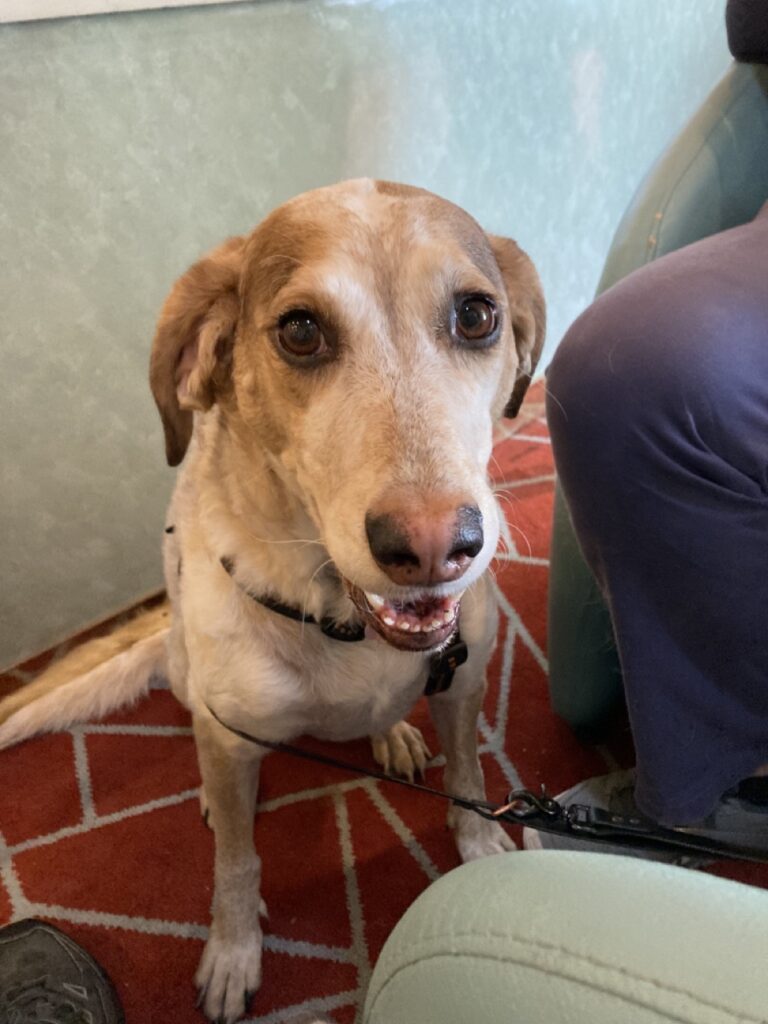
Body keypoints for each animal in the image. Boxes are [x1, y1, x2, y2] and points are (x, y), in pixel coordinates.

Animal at [0, 180, 544, 1019]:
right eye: (300, 331)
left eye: (478, 316)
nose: (433, 545)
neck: (344, 625)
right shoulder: (229, 739)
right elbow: (235, 864)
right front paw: (232, 952)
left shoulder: (463, 681)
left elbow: (468, 781)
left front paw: (481, 852)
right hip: (190, 678)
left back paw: (391, 735)